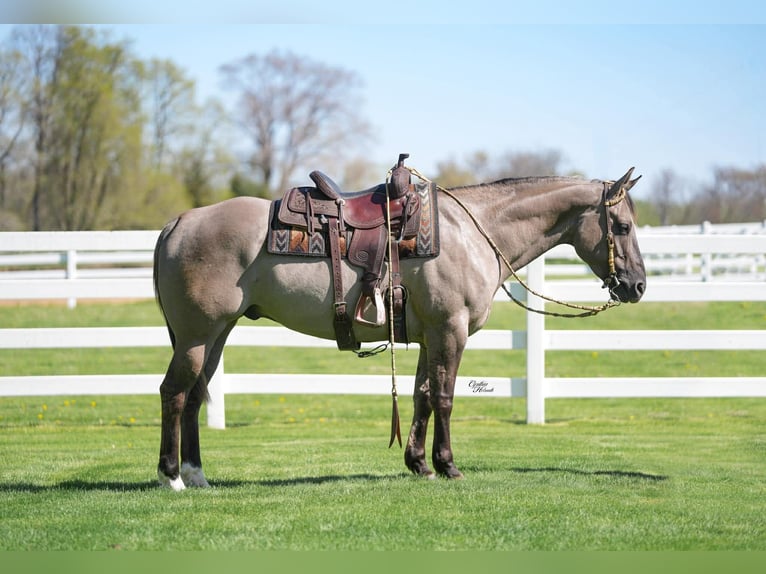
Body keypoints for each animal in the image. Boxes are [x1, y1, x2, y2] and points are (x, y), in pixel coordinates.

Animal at [153, 167, 645, 490]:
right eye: (622, 226)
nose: (637, 285)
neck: (471, 233)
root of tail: (178, 222)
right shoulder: (450, 331)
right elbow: (445, 398)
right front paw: (447, 465)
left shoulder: (431, 335)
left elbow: (422, 396)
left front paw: (419, 464)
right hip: (197, 336)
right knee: (173, 394)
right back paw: (172, 477)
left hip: (216, 335)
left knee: (193, 396)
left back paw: (196, 475)